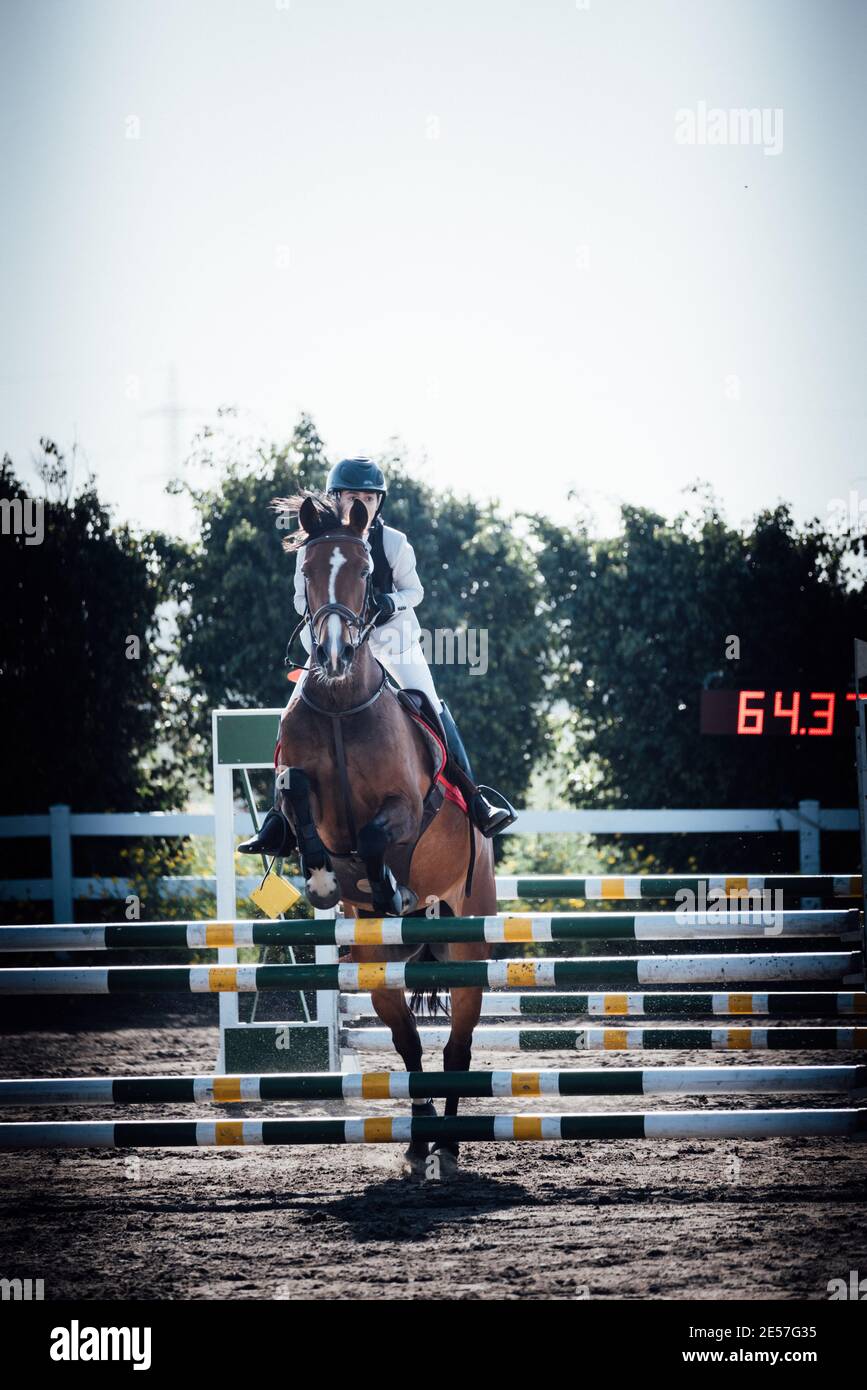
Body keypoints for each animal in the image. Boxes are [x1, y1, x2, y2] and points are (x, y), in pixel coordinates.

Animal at [273, 494, 497, 1178]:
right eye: (307, 570)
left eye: (368, 569)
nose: (334, 655)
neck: (341, 702)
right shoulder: (308, 796)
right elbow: (294, 794)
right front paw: (323, 879)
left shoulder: (405, 807)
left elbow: (376, 839)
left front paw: (387, 885)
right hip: (379, 972)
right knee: (410, 1046)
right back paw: (421, 1145)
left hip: (467, 940)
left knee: (456, 1049)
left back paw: (448, 1148)